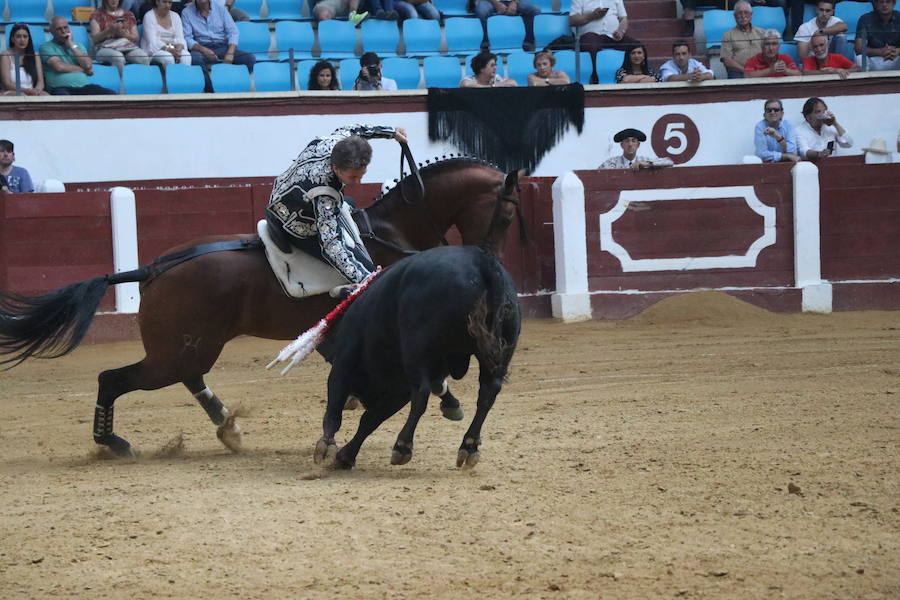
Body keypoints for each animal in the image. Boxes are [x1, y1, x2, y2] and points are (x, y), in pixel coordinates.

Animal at [314, 244, 520, 468]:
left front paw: (327, 446)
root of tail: (483, 262)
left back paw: (403, 446)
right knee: (488, 392)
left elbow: (336, 407)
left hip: (417, 349)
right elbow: (370, 419)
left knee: (422, 393)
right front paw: (346, 455)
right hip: (501, 351)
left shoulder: (345, 361)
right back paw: (469, 446)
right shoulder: (399, 389)